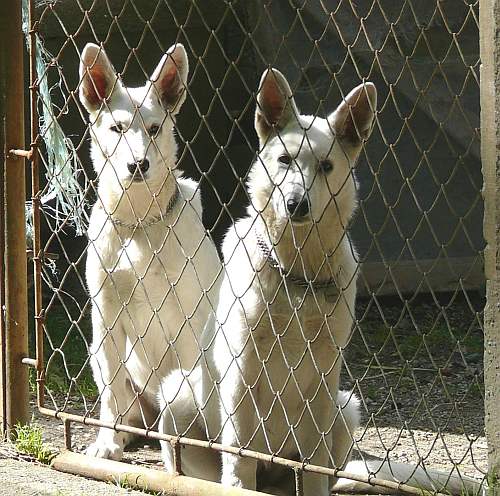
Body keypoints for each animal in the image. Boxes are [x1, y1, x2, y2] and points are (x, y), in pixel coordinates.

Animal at [79, 42, 221, 462]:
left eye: (155, 128)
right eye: (117, 128)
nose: (137, 164)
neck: (140, 224)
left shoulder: (193, 321)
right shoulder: (106, 317)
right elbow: (111, 393)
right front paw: (107, 443)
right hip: (98, 355)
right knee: (126, 409)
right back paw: (123, 435)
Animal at [159, 70, 480, 496]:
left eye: (326, 166)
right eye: (284, 160)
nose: (297, 204)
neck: (298, 272)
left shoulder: (327, 372)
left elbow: (313, 463)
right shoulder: (242, 366)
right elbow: (240, 449)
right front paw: (238, 482)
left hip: (346, 407)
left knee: (328, 468)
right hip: (176, 395)